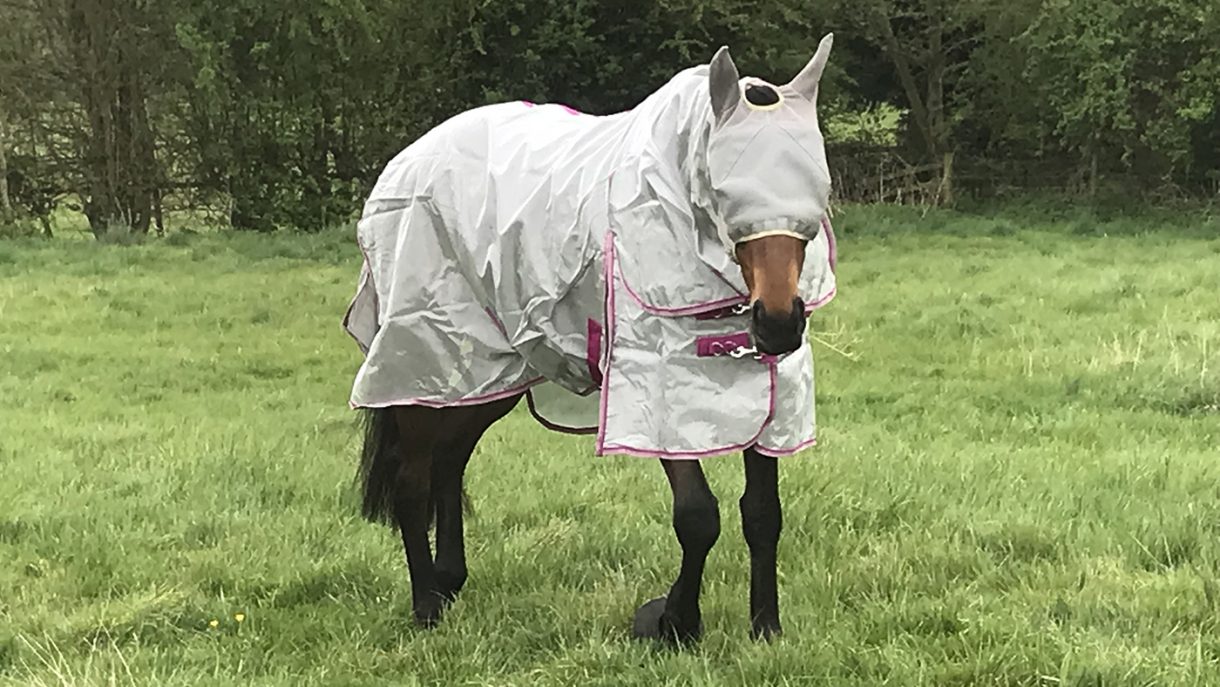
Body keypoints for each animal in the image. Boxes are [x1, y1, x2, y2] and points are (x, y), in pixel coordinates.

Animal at [342, 35, 837, 643]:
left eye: (816, 190)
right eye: (726, 192)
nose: (778, 323)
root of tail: (406, 162)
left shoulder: (774, 394)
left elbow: (763, 513)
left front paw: (765, 627)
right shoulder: (649, 386)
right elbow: (698, 516)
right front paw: (673, 622)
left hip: (487, 374)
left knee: (450, 459)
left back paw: (449, 580)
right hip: (423, 359)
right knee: (413, 478)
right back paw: (426, 605)